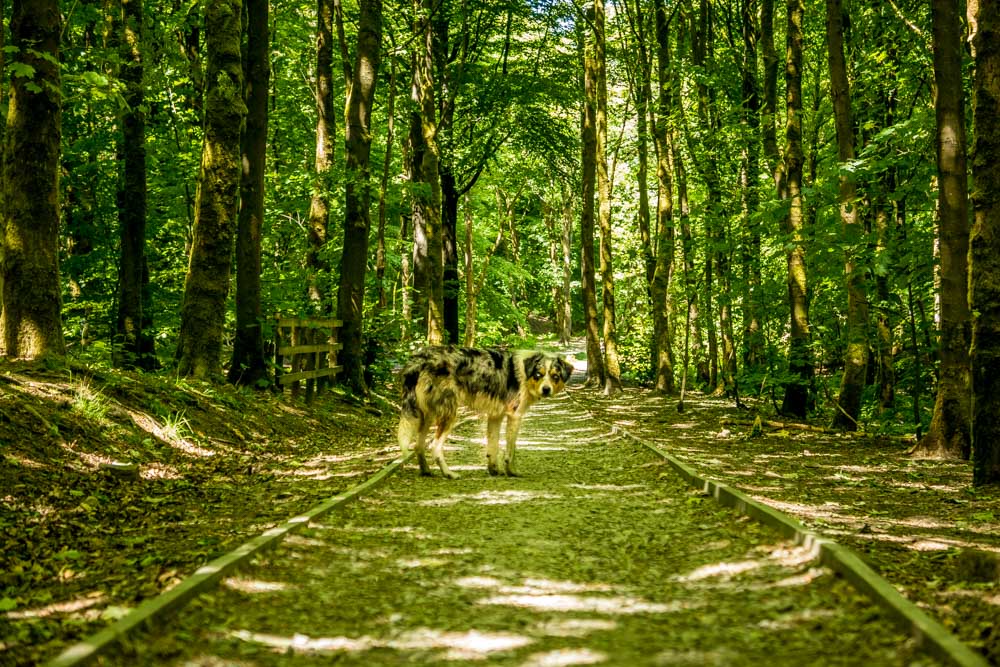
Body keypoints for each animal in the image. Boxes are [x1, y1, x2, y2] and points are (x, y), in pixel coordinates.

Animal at [396, 348, 576, 478]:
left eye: (555, 376)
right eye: (539, 375)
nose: (546, 390)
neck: (526, 373)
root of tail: (420, 359)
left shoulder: (495, 417)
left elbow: (493, 447)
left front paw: (494, 470)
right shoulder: (515, 417)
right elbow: (510, 451)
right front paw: (512, 472)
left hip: (427, 416)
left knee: (418, 446)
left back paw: (426, 471)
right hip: (449, 416)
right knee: (435, 447)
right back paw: (448, 474)